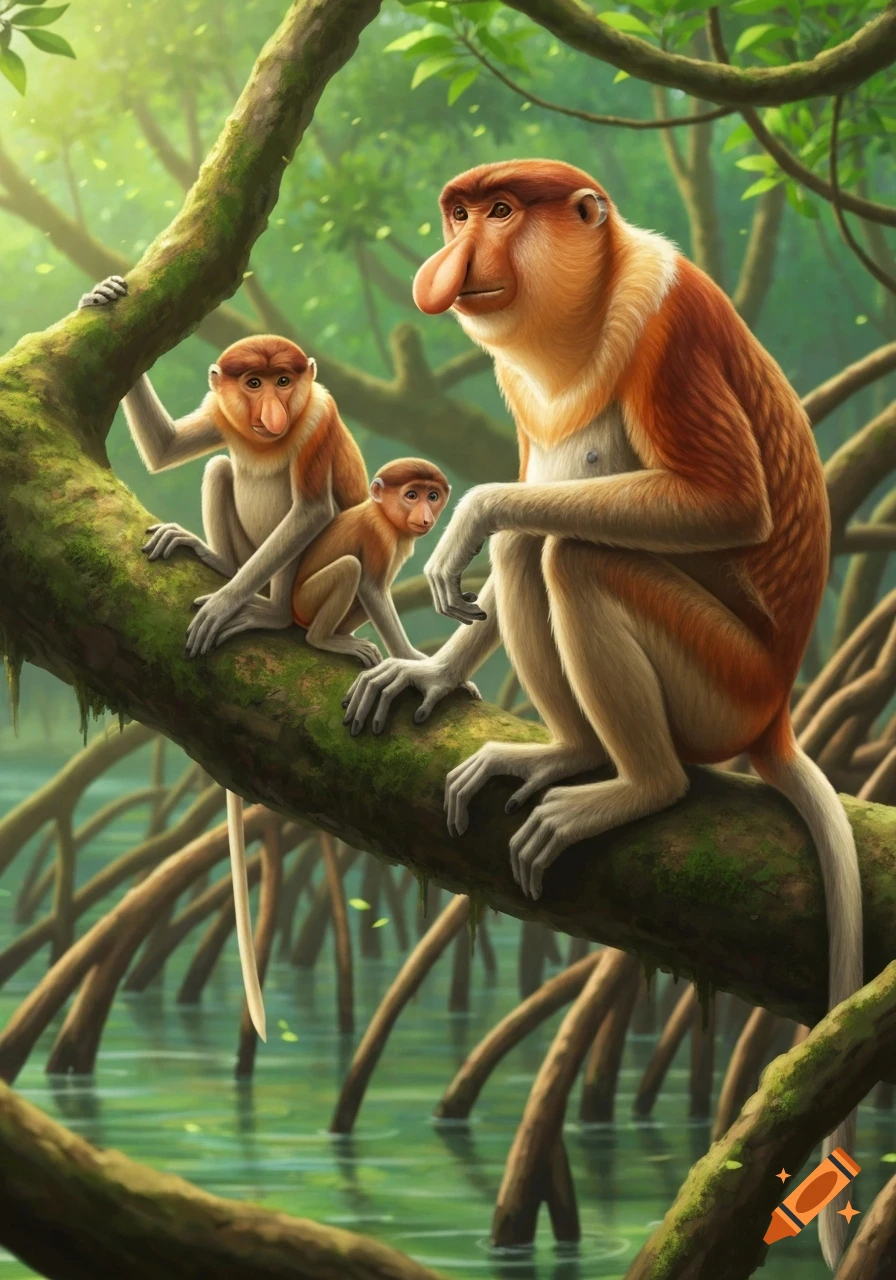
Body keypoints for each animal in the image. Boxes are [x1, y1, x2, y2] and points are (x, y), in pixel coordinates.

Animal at [78, 275, 369, 1044]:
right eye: (251, 381)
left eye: (285, 381)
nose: (269, 411)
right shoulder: (223, 413)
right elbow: (175, 448)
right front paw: (105, 295)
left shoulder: (316, 421)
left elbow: (310, 510)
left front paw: (225, 608)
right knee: (215, 465)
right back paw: (213, 560)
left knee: (313, 521)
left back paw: (259, 610)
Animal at [292, 458, 451, 666]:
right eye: (412, 495)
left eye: (433, 496)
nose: (425, 518)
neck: (381, 512)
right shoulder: (378, 532)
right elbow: (372, 589)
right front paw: (409, 658)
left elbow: (380, 589)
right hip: (306, 602)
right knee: (349, 567)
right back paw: (321, 639)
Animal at [341, 160, 862, 1269]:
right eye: (458, 213)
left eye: (501, 211)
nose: (452, 263)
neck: (582, 321)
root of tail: (776, 708)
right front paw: (430, 671)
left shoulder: (665, 337)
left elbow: (723, 503)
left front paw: (471, 513)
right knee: (544, 545)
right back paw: (567, 754)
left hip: (718, 679)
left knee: (574, 551)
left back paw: (633, 784)